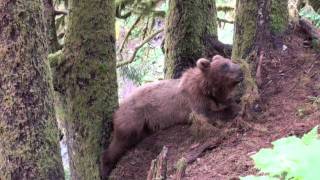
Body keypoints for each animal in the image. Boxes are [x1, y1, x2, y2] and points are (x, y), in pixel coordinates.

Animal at [101, 54, 244, 179]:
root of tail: (119, 107)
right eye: (224, 66)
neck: (207, 88)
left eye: (229, 60)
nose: (241, 71)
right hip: (133, 117)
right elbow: (207, 115)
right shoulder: (194, 101)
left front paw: (235, 102)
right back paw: (105, 167)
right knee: (119, 142)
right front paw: (235, 109)